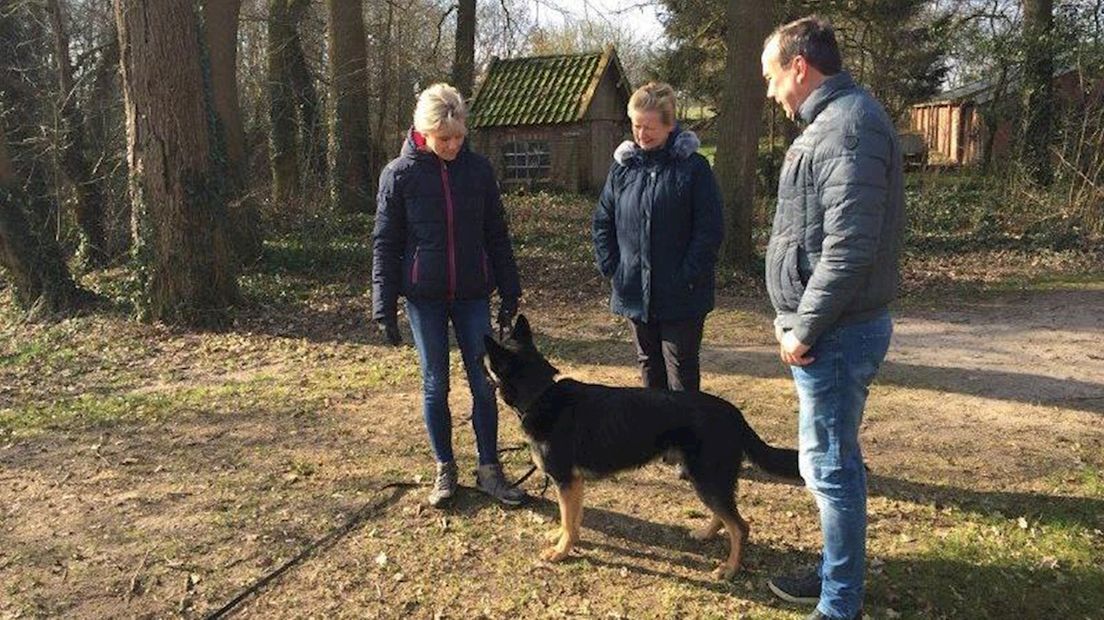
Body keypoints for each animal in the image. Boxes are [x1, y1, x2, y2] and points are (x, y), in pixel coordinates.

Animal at [485, 313, 803, 578]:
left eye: (486, 361)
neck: (540, 393)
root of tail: (735, 414)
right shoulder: (573, 485)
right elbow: (570, 520)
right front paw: (562, 539)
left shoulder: (566, 482)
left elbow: (569, 519)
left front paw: (562, 551)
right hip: (706, 480)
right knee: (725, 516)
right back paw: (706, 534)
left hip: (707, 479)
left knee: (740, 526)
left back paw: (730, 569)